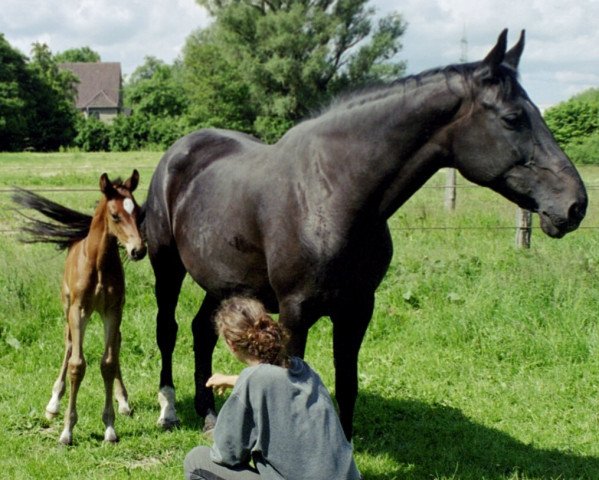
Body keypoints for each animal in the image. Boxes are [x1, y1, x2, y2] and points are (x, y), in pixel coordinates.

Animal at [13, 171, 146, 444]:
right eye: (115, 215)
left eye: (138, 212)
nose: (138, 250)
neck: (98, 264)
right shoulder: (79, 310)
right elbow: (77, 364)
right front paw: (67, 431)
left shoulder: (113, 310)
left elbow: (108, 363)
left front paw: (110, 427)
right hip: (67, 309)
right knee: (68, 344)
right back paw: (53, 403)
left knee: (116, 343)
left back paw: (123, 401)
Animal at [143, 30, 588, 438]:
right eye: (513, 118)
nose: (575, 205)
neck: (331, 192)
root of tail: (180, 151)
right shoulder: (295, 311)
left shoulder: (358, 308)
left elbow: (347, 385)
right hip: (168, 268)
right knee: (168, 330)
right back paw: (168, 411)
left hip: (223, 282)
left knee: (202, 331)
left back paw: (209, 414)